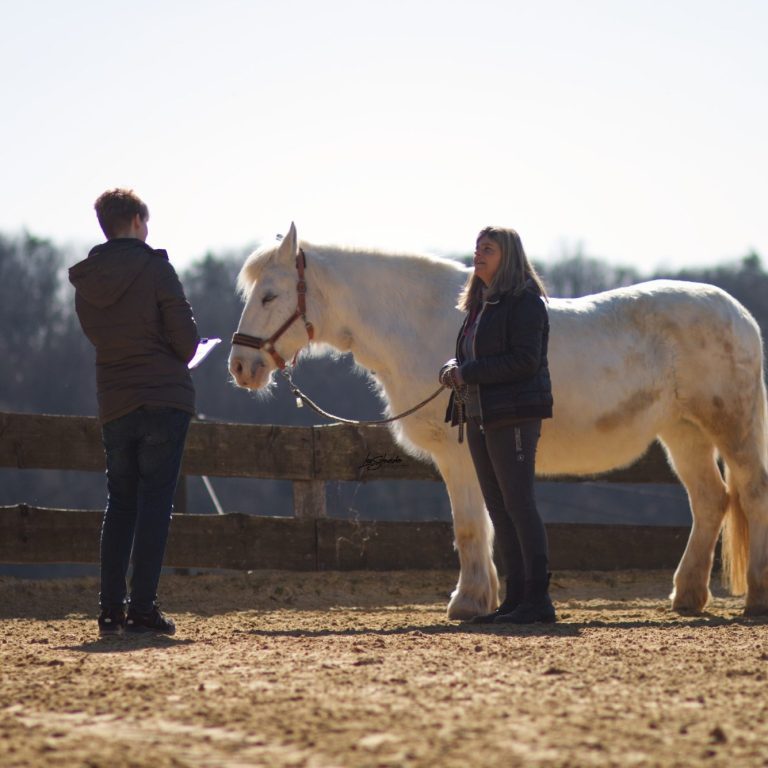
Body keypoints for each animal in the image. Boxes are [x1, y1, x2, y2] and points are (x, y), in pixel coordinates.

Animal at [228, 222, 768, 616]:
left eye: (270, 296)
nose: (240, 366)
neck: (422, 322)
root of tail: (739, 313)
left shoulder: (459, 455)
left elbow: (469, 527)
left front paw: (466, 602)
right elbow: (484, 526)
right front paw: (485, 598)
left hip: (731, 429)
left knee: (750, 492)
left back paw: (756, 598)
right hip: (683, 433)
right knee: (710, 501)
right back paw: (687, 597)